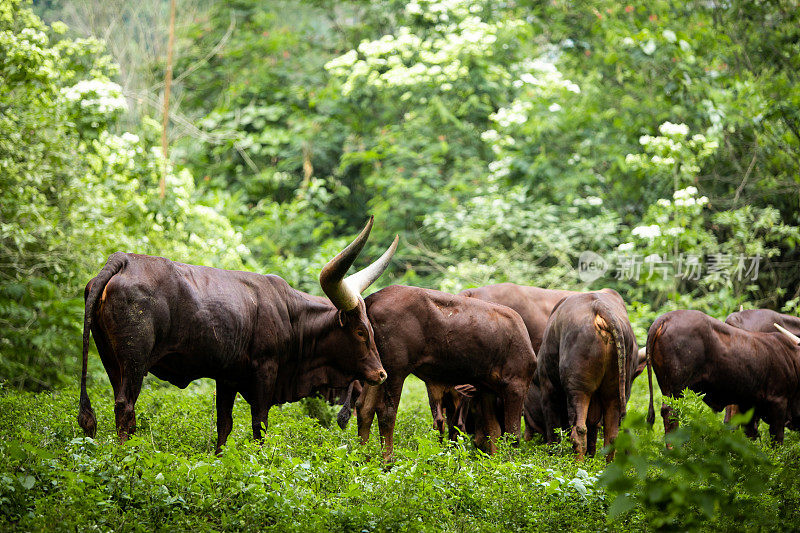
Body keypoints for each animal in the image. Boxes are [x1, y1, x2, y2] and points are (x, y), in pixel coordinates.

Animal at [78, 214, 396, 450]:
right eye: (359, 331)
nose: (381, 374)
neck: (292, 316)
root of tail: (122, 260)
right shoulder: (265, 371)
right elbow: (259, 424)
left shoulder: (227, 377)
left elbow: (224, 425)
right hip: (134, 362)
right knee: (125, 408)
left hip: (112, 361)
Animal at [352, 284, 536, 460]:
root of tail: (374, 297)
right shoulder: (516, 385)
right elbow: (513, 435)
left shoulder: (486, 389)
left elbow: (494, 432)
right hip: (396, 368)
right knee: (386, 412)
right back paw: (387, 462)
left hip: (379, 371)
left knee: (364, 407)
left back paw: (363, 458)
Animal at [536, 288, 640, 460]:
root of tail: (598, 306)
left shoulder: (547, 388)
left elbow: (553, 430)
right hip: (615, 391)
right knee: (611, 436)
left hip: (578, 389)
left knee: (578, 431)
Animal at [648, 308, 800, 440]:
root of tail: (664, 319)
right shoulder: (778, 401)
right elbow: (777, 437)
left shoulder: (749, 406)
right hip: (676, 390)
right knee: (671, 414)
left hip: (666, 388)